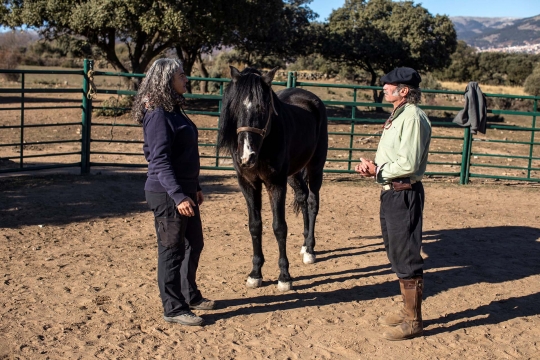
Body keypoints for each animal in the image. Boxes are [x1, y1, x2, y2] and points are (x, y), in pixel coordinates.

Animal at [216, 66, 326, 292]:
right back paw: (304, 246)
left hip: (315, 167)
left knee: (312, 202)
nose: (247, 156)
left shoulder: (276, 184)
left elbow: (279, 227)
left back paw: (310, 250)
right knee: (303, 199)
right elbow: (255, 226)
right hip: (294, 174)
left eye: (263, 108)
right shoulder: (248, 184)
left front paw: (284, 277)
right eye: (236, 107)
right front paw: (255, 274)